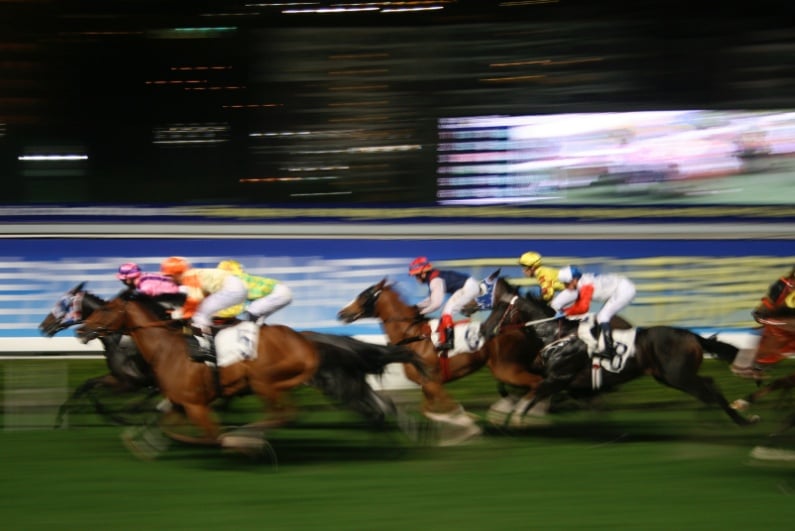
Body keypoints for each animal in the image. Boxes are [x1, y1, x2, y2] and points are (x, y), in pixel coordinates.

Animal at [76, 288, 430, 450]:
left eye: (105, 309)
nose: (81, 330)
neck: (169, 346)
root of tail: (310, 340)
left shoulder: (193, 402)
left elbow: (206, 433)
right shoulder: (178, 398)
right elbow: (160, 419)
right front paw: (139, 438)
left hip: (276, 382)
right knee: (376, 408)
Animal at [334, 278, 548, 432]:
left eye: (364, 295)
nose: (341, 313)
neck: (412, 335)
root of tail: (521, 327)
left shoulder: (432, 381)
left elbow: (443, 407)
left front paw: (467, 424)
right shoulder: (427, 383)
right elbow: (427, 410)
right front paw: (464, 422)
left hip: (506, 369)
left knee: (537, 383)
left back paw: (520, 416)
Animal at [478, 282, 760, 428]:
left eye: (500, 309)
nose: (484, 330)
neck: (556, 335)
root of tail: (693, 336)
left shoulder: (560, 377)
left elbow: (534, 392)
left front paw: (515, 417)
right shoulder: (564, 381)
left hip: (678, 375)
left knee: (709, 389)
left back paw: (737, 419)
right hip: (671, 376)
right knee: (709, 387)